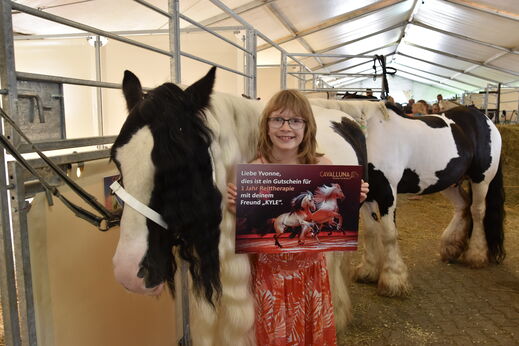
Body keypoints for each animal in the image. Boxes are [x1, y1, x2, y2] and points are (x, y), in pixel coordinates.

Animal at [310, 98, 506, 298]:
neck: (369, 134)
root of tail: (482, 117)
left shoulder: (387, 193)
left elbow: (389, 234)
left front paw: (392, 279)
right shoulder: (368, 195)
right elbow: (371, 231)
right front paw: (368, 270)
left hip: (481, 179)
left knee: (477, 211)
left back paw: (476, 255)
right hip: (449, 182)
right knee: (462, 206)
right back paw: (451, 247)